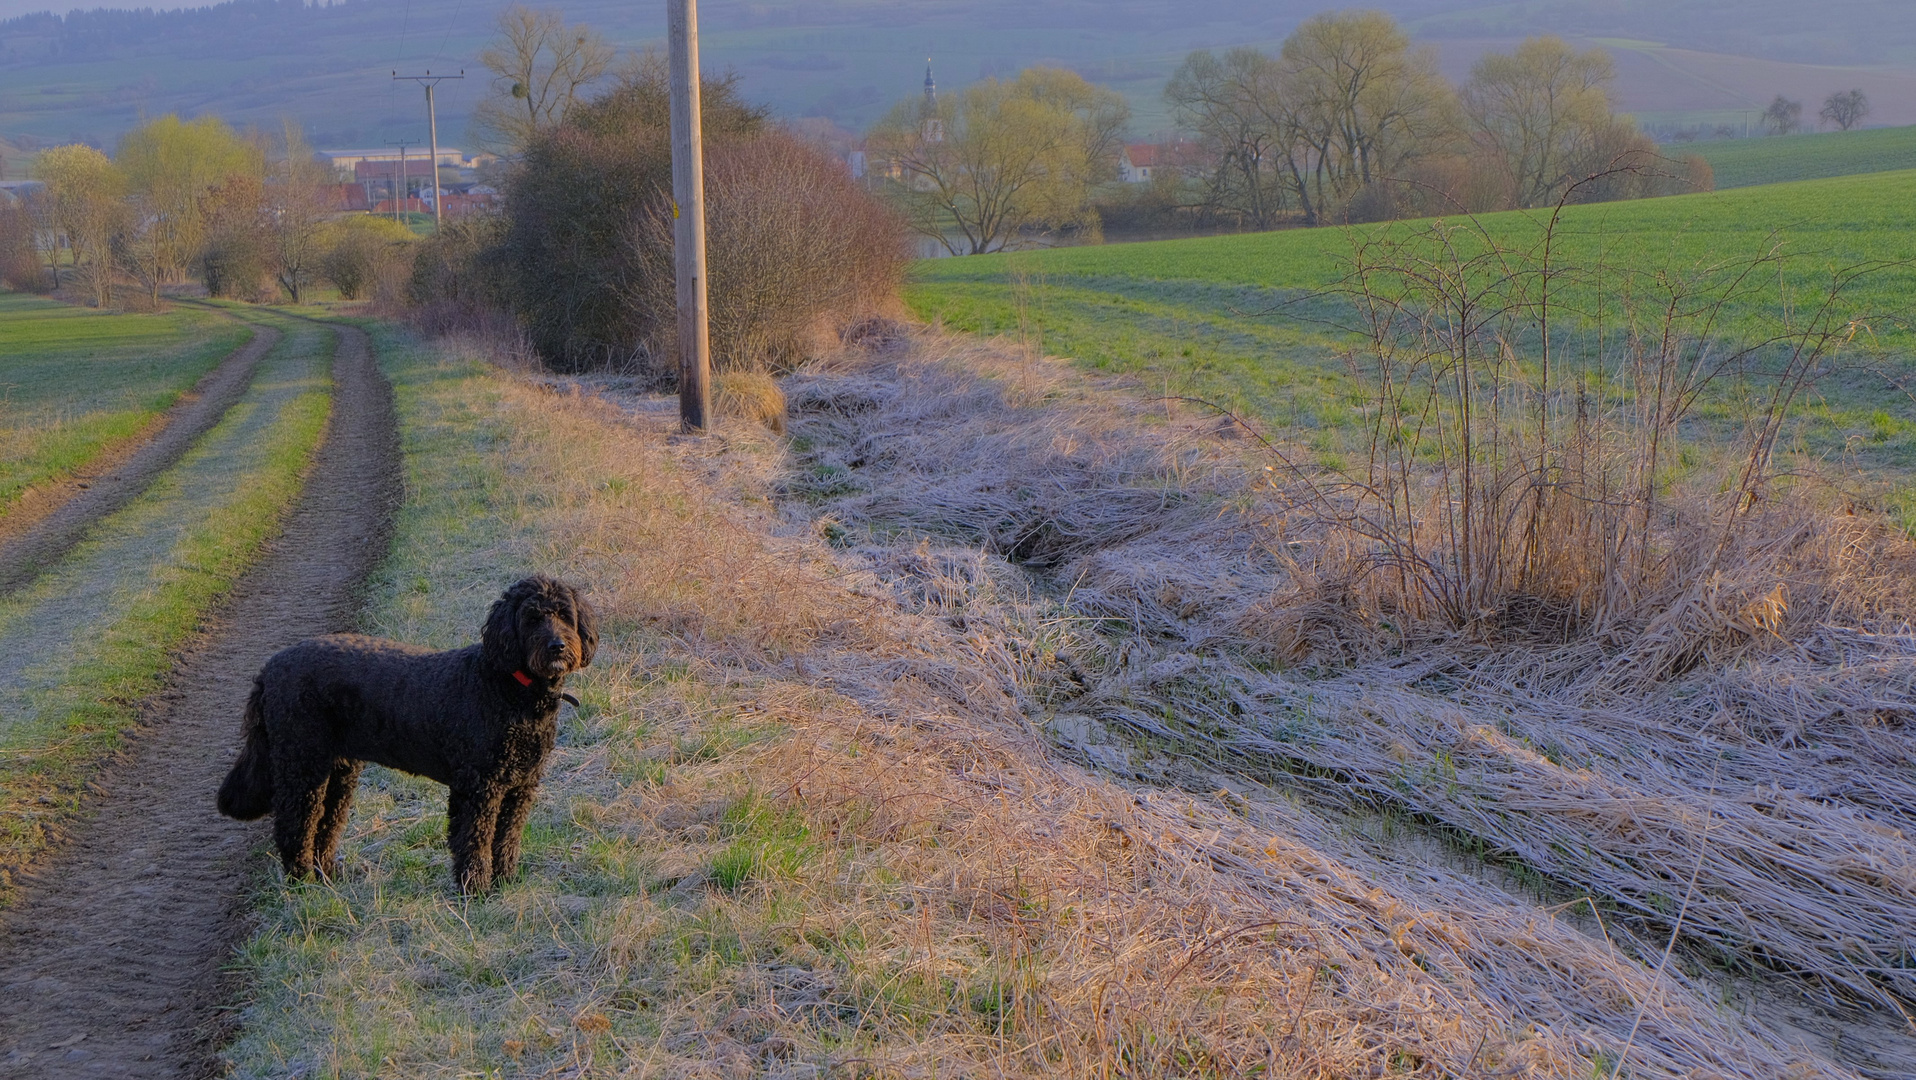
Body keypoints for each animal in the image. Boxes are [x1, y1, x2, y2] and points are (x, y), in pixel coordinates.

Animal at [217, 578, 593, 888]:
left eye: (565, 615)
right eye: (531, 618)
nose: (558, 646)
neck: (509, 689)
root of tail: (269, 668)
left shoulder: (520, 786)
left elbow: (508, 838)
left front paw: (506, 882)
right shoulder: (478, 787)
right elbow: (474, 839)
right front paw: (475, 890)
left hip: (338, 771)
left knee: (326, 824)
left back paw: (329, 876)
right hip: (302, 765)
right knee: (294, 826)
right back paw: (301, 882)